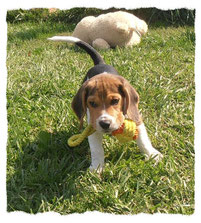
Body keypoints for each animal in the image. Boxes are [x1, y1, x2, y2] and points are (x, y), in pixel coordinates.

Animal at [48, 37, 163, 172]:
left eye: (115, 101)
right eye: (92, 103)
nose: (105, 123)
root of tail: (100, 64)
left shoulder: (135, 116)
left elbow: (143, 139)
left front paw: (152, 155)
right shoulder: (92, 125)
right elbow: (96, 149)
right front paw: (96, 167)